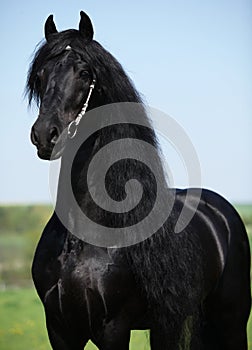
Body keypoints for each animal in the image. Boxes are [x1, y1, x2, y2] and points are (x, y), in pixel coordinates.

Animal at [27, 12, 250, 348]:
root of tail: (221, 212)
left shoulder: (113, 328)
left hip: (231, 322)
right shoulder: (60, 329)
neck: (81, 237)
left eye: (84, 73)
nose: (45, 135)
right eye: (40, 75)